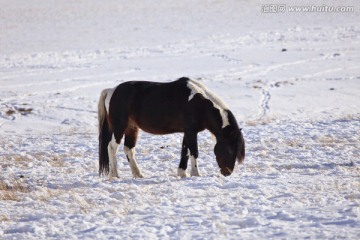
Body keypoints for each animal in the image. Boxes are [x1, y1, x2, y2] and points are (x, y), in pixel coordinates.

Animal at [97, 77, 245, 178]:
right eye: (230, 150)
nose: (227, 172)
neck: (200, 104)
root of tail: (111, 90)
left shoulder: (187, 132)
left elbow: (185, 151)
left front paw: (182, 173)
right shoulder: (191, 132)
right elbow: (194, 152)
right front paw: (196, 174)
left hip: (132, 128)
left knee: (129, 149)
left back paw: (138, 174)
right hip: (119, 128)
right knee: (111, 147)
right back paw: (115, 175)